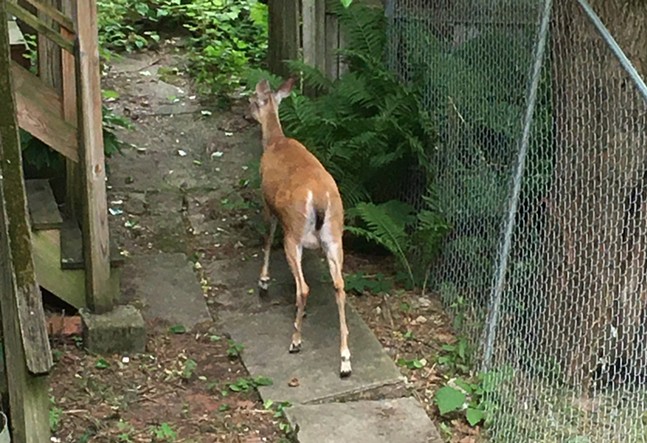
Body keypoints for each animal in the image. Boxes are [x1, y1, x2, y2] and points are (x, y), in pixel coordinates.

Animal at [248, 78, 352, 380]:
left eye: (251, 100)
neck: (275, 141)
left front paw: (263, 281)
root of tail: (319, 200)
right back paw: (345, 361)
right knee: (340, 286)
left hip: (294, 233)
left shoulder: (268, 205)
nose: (247, 113)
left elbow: (266, 238)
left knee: (304, 288)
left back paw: (295, 341)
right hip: (334, 236)